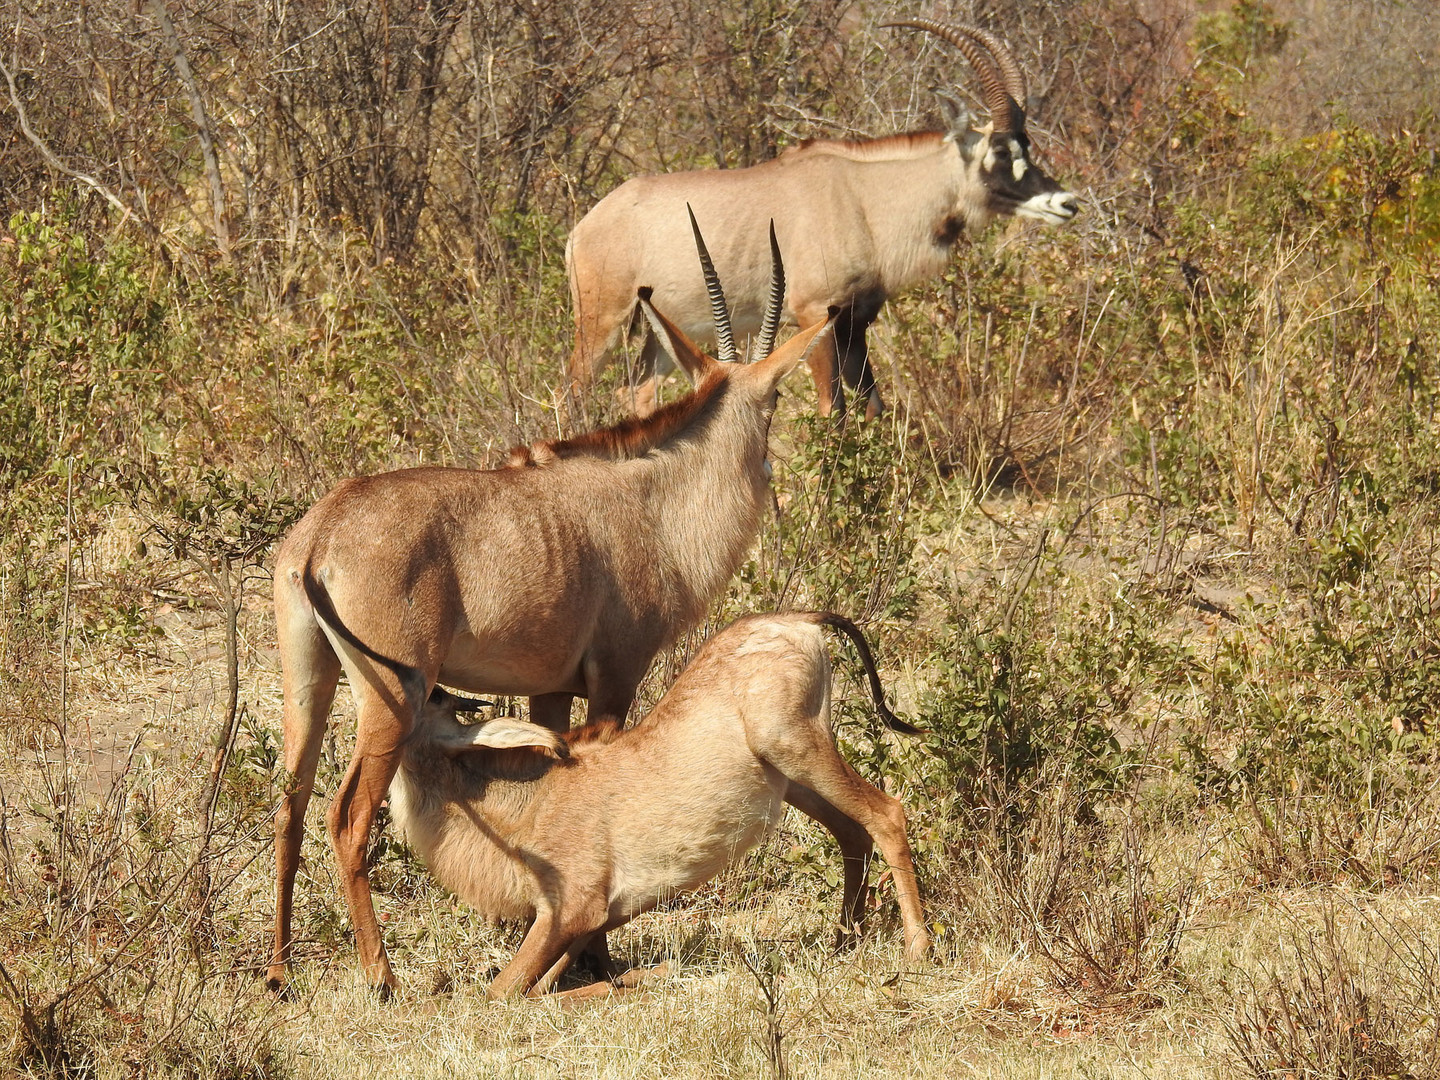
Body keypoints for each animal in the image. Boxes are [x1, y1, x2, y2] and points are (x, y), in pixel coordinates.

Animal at [264, 220, 840, 996]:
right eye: (775, 401)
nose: (775, 477)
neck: (650, 501)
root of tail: (321, 533)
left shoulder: (548, 690)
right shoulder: (616, 677)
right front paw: (595, 957)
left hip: (309, 681)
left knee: (290, 805)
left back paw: (277, 971)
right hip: (391, 698)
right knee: (348, 818)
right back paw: (382, 978)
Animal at [391, 613, 933, 1002]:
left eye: (433, 696)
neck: (527, 799)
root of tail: (800, 619)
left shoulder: (569, 911)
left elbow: (500, 993)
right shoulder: (588, 921)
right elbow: (538, 985)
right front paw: (634, 977)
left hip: (796, 749)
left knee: (886, 814)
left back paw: (917, 951)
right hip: (793, 779)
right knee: (853, 832)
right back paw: (844, 942)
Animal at [561, 18, 1082, 423]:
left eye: (1027, 144)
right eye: (1000, 150)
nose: (1066, 203)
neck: (863, 198)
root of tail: (584, 227)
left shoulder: (857, 321)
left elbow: (874, 408)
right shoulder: (816, 315)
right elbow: (833, 411)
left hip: (661, 331)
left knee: (635, 392)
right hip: (602, 322)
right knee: (575, 392)